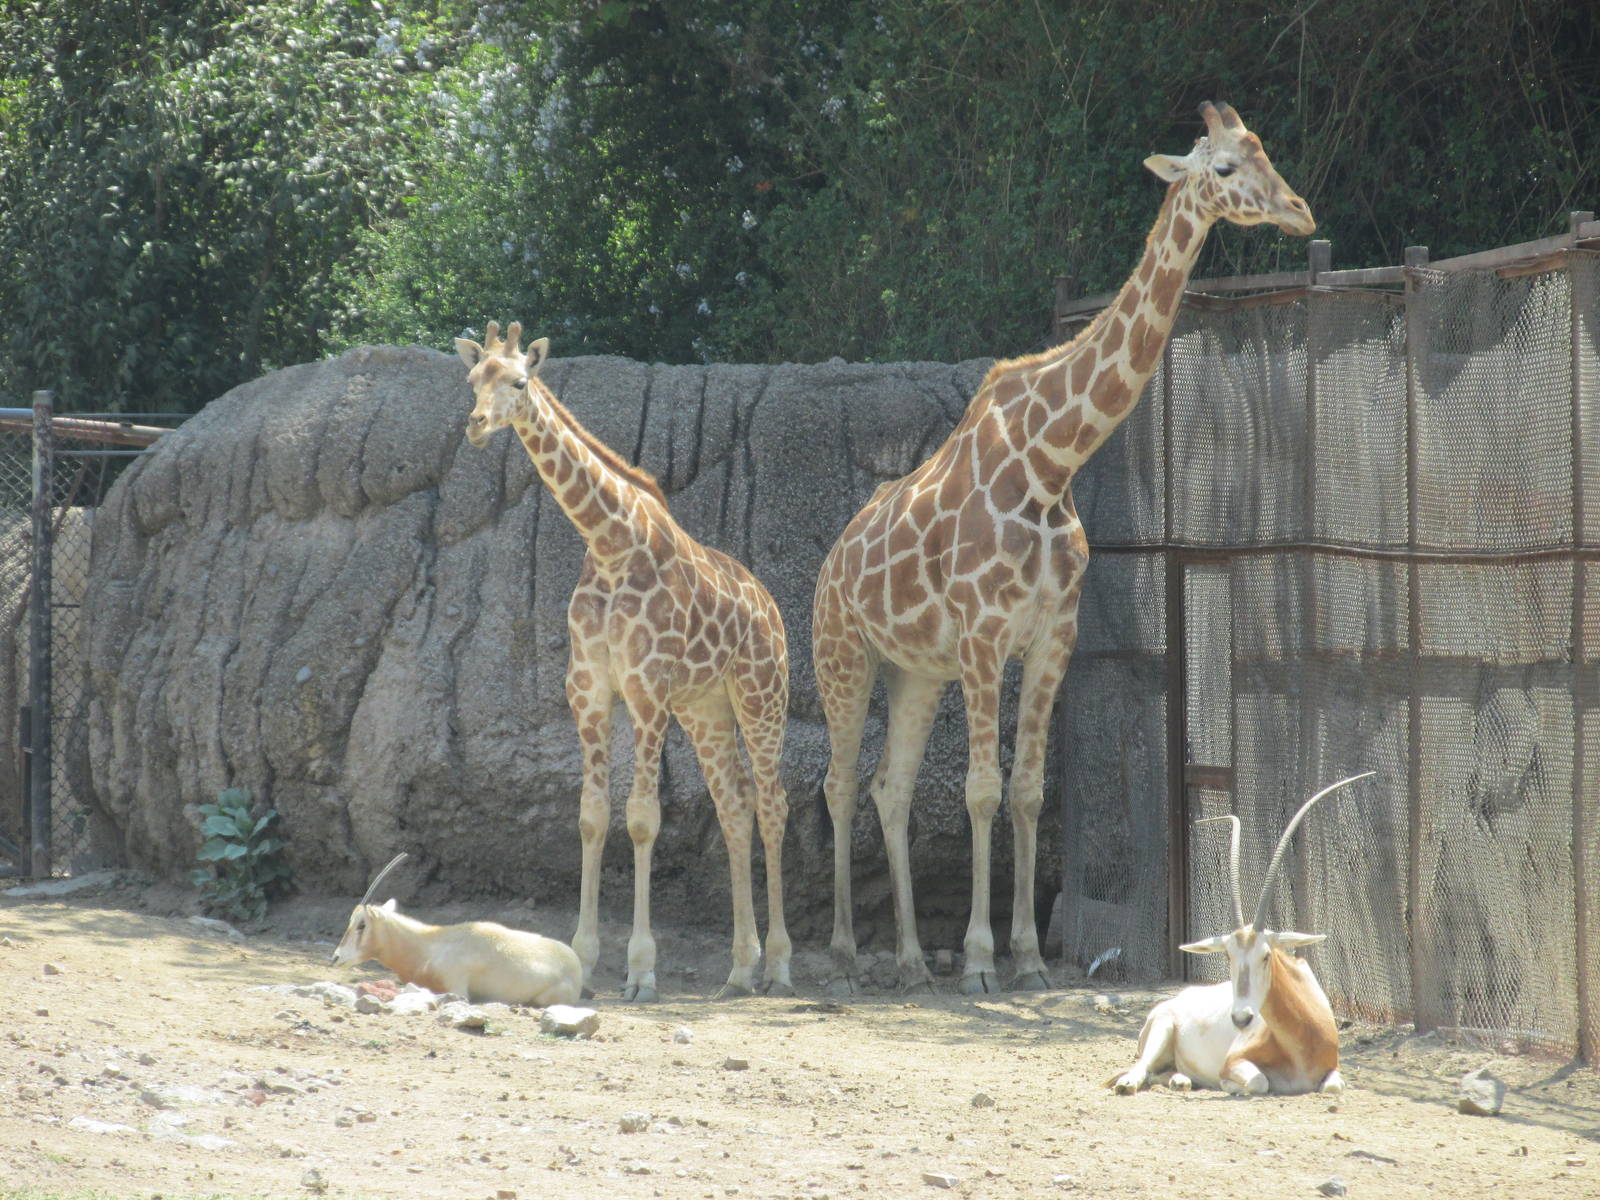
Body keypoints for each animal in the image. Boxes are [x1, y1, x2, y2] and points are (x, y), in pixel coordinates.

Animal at [455, 321, 793, 1002]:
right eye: (473, 379)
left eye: (520, 382)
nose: (476, 425)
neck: (608, 543)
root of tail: (772, 611)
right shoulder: (587, 689)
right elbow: (591, 816)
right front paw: (585, 960)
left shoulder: (645, 689)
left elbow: (640, 820)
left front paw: (641, 969)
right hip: (707, 709)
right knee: (736, 807)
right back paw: (740, 967)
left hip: (761, 696)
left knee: (774, 806)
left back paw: (778, 965)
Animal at [812, 101, 1316, 995]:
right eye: (1224, 167)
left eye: (1266, 152)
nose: (1301, 211)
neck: (1049, 463)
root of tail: (830, 565)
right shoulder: (984, 637)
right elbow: (981, 790)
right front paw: (982, 960)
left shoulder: (1053, 638)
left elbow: (1029, 793)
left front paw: (1028, 957)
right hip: (844, 652)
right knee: (838, 784)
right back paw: (841, 954)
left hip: (913, 671)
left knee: (888, 788)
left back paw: (909, 960)